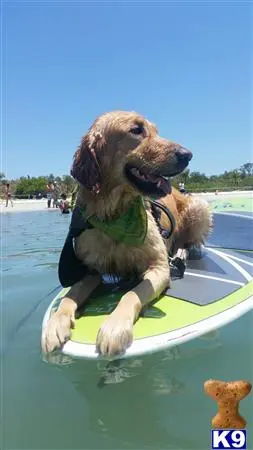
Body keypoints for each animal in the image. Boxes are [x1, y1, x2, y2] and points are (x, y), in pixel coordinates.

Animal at [41, 110, 211, 356]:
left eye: (156, 130)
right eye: (136, 130)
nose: (187, 154)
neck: (115, 215)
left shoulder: (159, 267)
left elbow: (131, 294)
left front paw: (115, 327)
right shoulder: (92, 271)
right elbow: (69, 297)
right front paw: (56, 323)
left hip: (199, 206)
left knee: (190, 244)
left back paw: (182, 253)